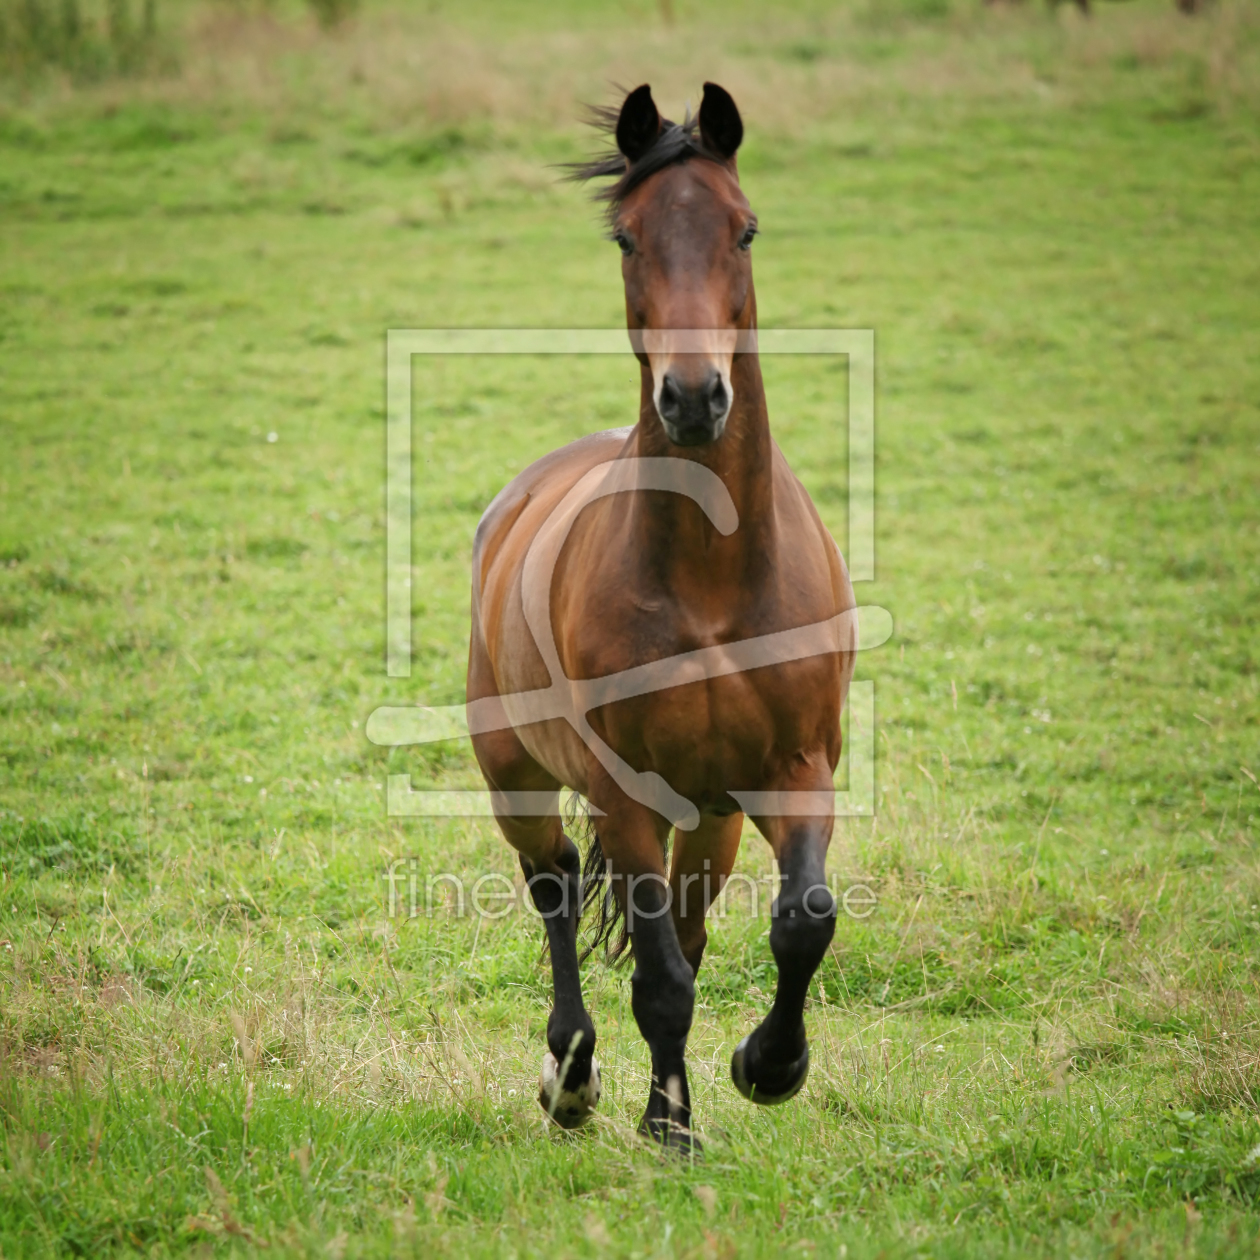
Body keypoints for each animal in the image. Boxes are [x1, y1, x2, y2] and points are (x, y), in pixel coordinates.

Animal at [471, 81, 856, 1154]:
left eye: (746, 229)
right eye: (627, 238)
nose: (691, 397)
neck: (713, 571)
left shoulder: (798, 767)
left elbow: (804, 916)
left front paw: (768, 1066)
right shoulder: (624, 793)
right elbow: (659, 980)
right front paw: (671, 1124)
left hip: (710, 818)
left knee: (683, 920)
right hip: (516, 776)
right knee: (557, 887)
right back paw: (572, 1076)